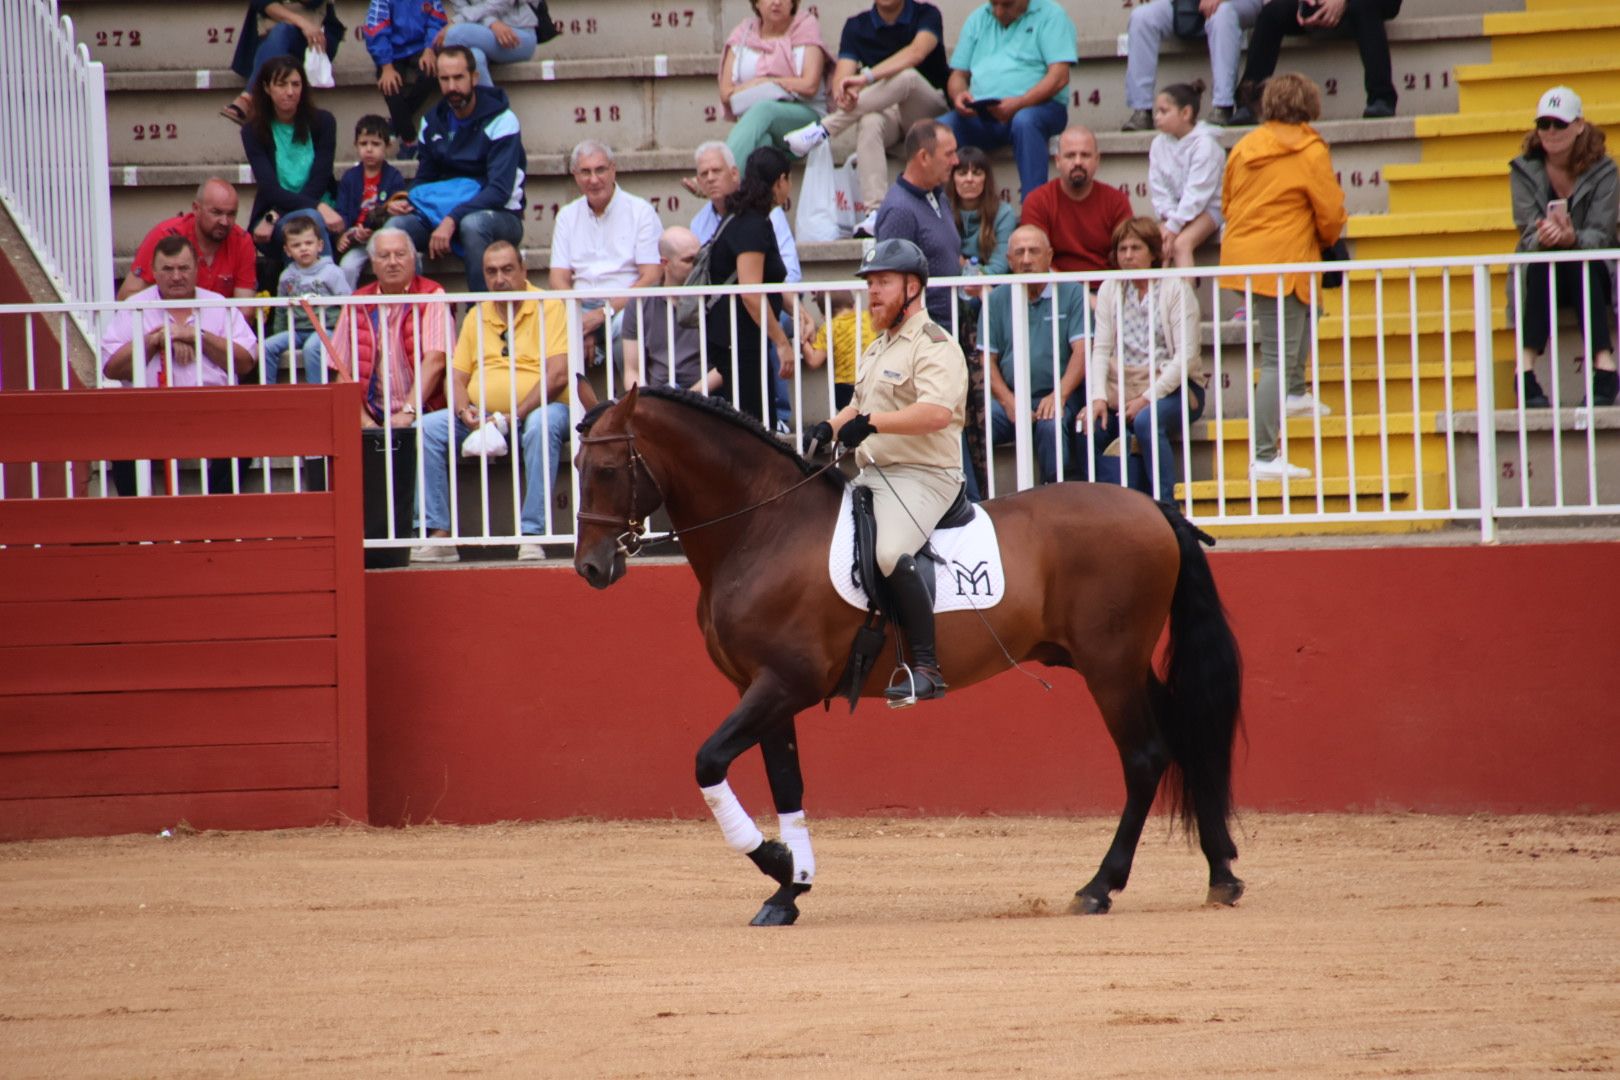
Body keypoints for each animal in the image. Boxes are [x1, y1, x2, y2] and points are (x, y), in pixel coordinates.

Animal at [576, 388, 1244, 932]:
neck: (764, 526)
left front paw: (778, 863)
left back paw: (1100, 887)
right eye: (576, 467)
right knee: (1185, 739)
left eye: (606, 469)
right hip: (1118, 665)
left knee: (1145, 758)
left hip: (1111, 667)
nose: (590, 567)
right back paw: (1222, 876)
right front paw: (791, 889)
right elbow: (787, 784)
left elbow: (708, 762)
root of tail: (1155, 507)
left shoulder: (783, 685)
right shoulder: (762, 690)